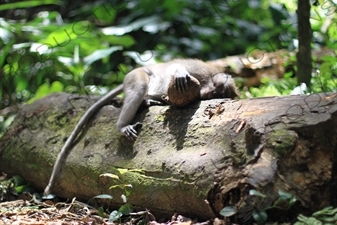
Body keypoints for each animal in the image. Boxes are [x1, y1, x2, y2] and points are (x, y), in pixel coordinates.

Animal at [43, 59, 238, 196]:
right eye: (214, 93)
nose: (206, 94)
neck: (208, 81)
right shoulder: (200, 71)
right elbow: (175, 68)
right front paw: (180, 73)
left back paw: (150, 101)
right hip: (137, 75)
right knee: (139, 87)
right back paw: (123, 125)